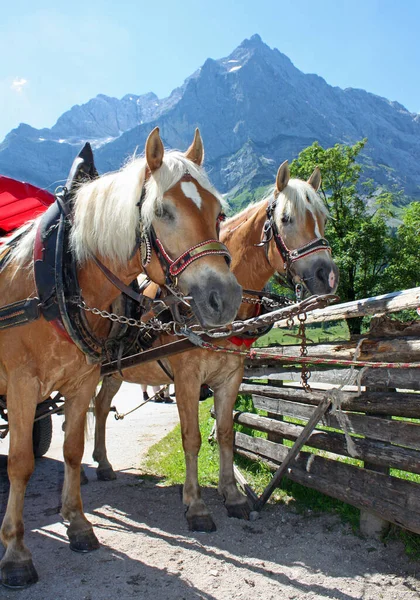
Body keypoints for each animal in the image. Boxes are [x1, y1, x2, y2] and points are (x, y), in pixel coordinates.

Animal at [0, 127, 243, 584]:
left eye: (219, 212)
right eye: (162, 210)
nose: (224, 298)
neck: (61, 278)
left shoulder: (80, 382)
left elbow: (72, 449)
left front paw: (77, 524)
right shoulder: (22, 384)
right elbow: (21, 462)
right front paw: (16, 553)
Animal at [93, 159, 340, 528]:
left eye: (323, 218)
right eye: (286, 218)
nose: (328, 276)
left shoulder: (230, 376)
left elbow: (226, 433)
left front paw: (232, 495)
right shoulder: (186, 379)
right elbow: (191, 437)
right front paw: (195, 504)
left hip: (114, 373)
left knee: (99, 405)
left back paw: (102, 462)